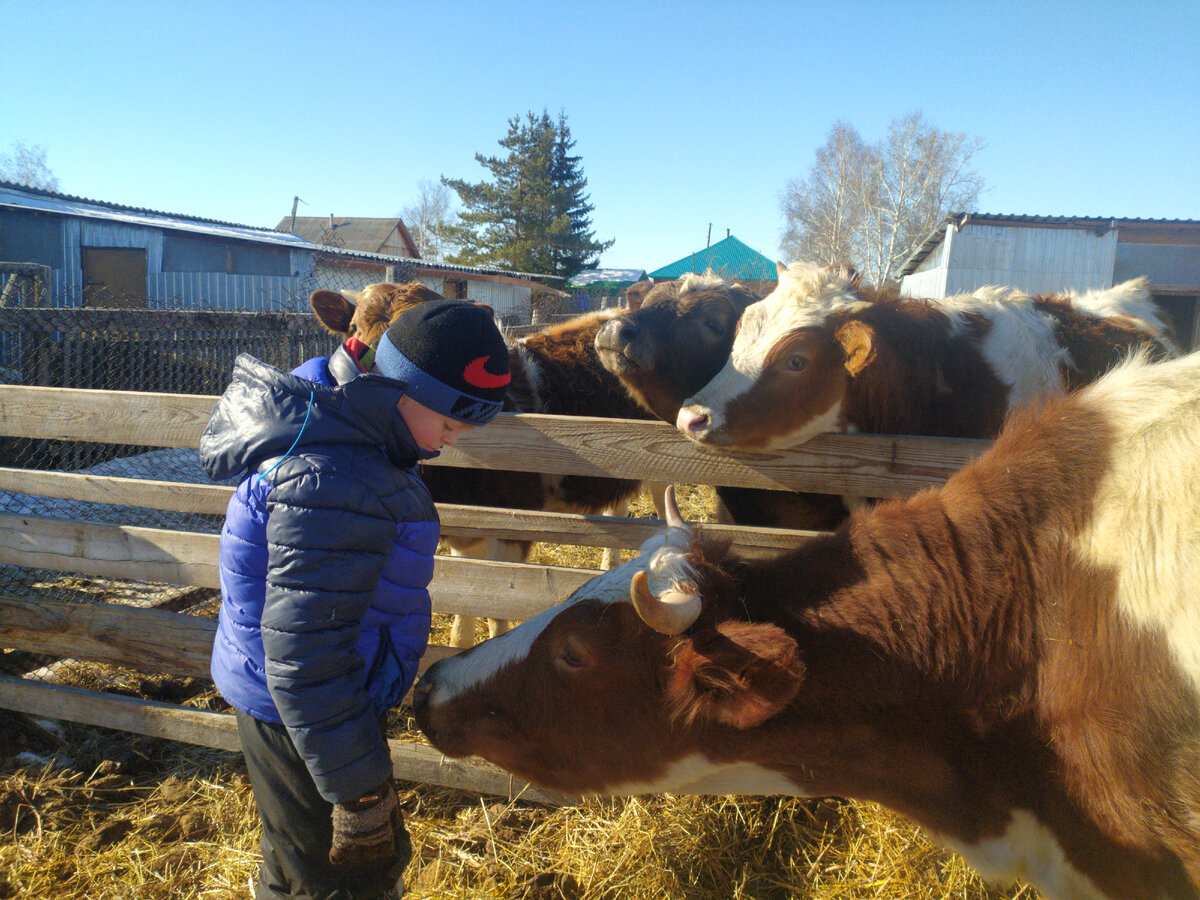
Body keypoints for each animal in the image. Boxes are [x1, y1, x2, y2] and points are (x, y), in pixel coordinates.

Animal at [309, 282, 662, 648]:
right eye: (353, 327)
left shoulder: (512, 530)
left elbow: (497, 606)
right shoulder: (465, 530)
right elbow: (465, 603)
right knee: (618, 508)